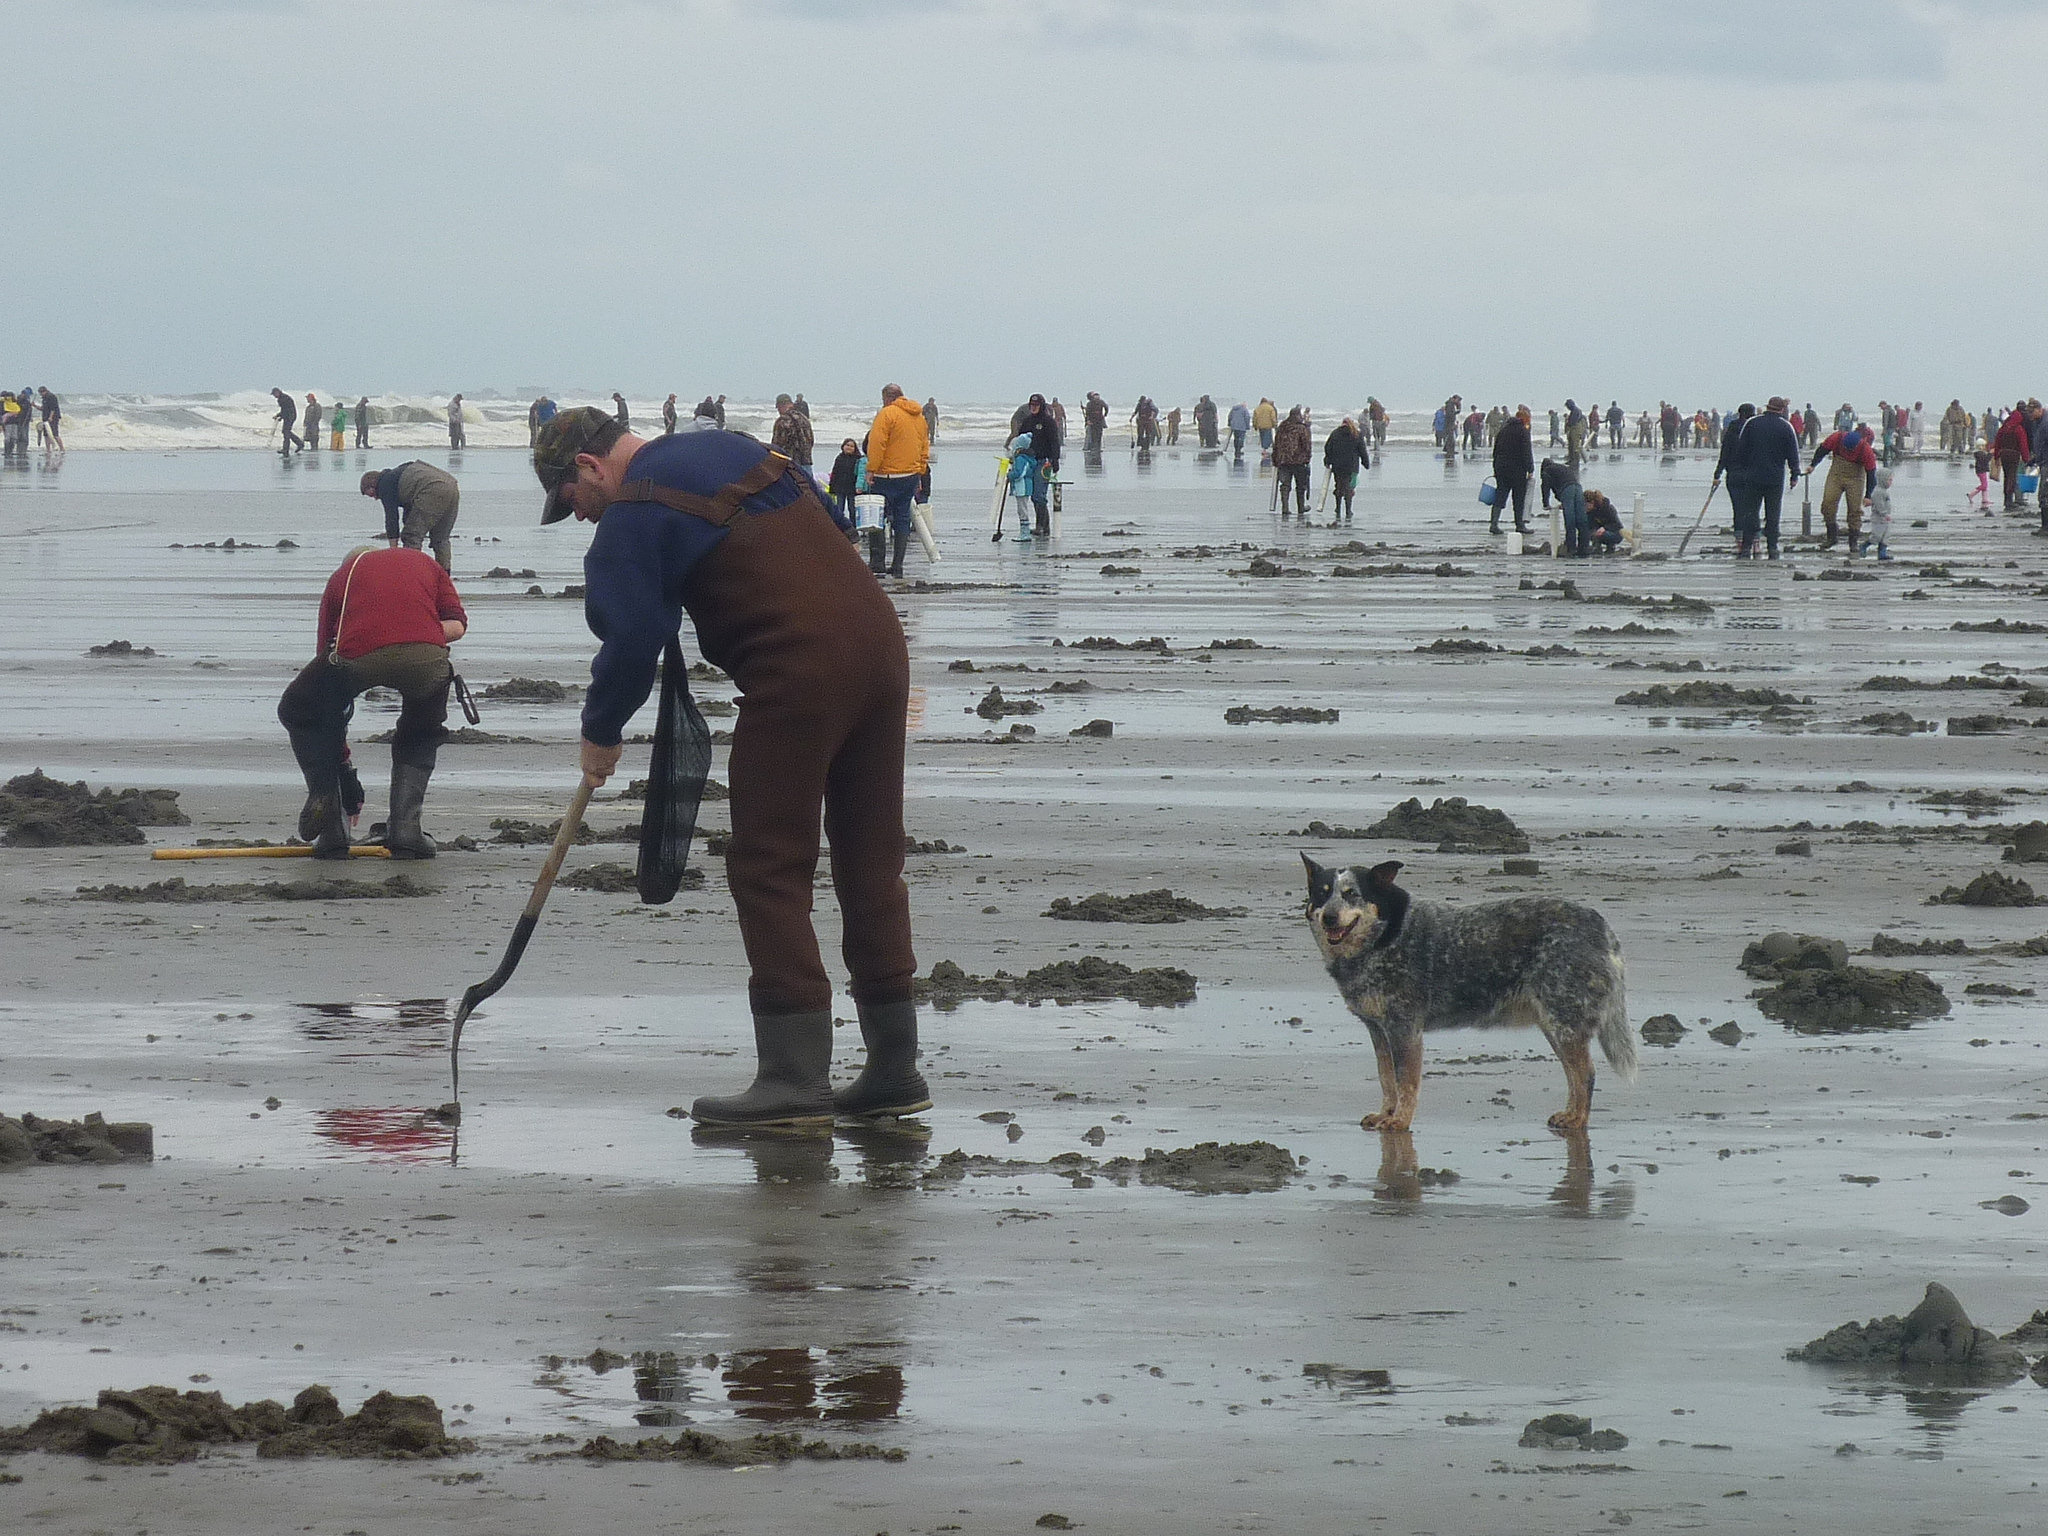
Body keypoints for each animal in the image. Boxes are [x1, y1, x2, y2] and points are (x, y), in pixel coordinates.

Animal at [1310, 856, 1630, 1130]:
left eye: (1351, 893)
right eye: (1322, 894)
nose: (1329, 917)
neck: (1384, 937)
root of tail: (1603, 928)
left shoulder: (1405, 1029)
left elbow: (1406, 1082)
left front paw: (1400, 1120)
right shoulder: (1378, 1029)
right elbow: (1386, 1079)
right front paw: (1384, 1113)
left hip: (1564, 1023)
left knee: (1585, 1073)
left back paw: (1578, 1119)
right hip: (1555, 1025)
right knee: (1575, 1074)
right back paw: (1570, 1114)